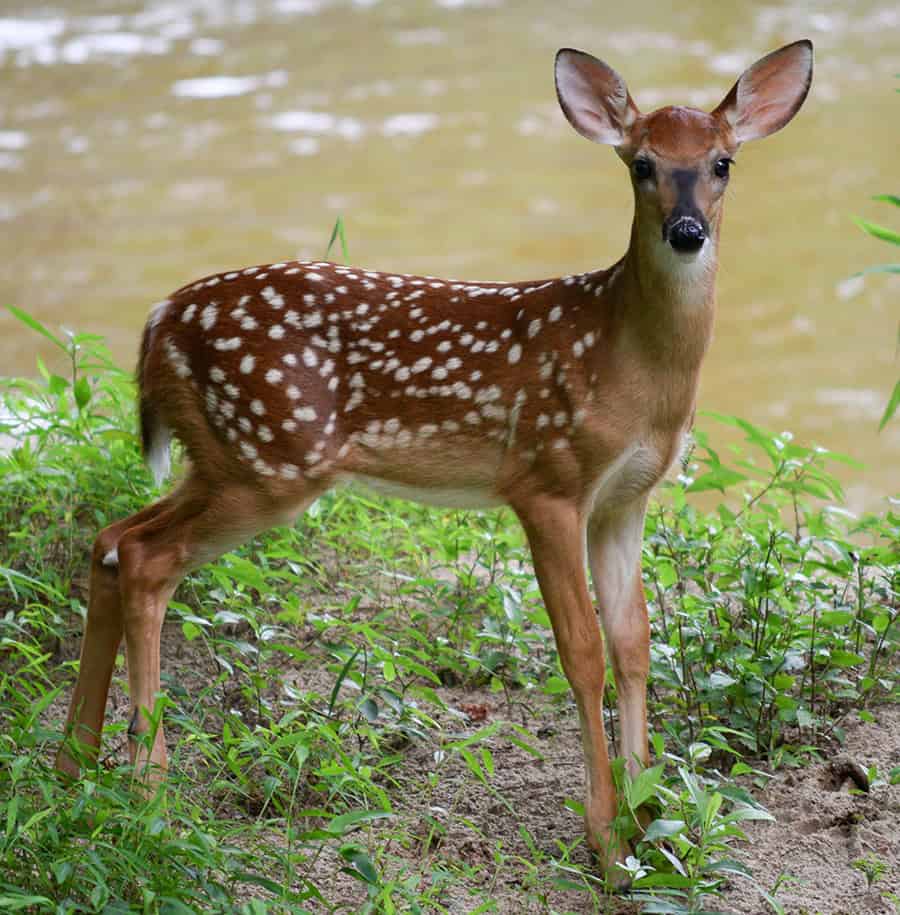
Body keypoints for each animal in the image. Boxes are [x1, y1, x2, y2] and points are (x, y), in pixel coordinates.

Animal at [56, 40, 813, 883]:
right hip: (270, 458)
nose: (686, 231)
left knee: (112, 538)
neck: (629, 361)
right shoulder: (546, 477)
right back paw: (147, 783)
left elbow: (635, 642)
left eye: (722, 163)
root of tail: (156, 324)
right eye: (642, 163)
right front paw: (608, 841)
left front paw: (650, 824)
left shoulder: (627, 496)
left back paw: (75, 764)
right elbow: (581, 650)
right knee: (147, 556)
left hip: (225, 456)